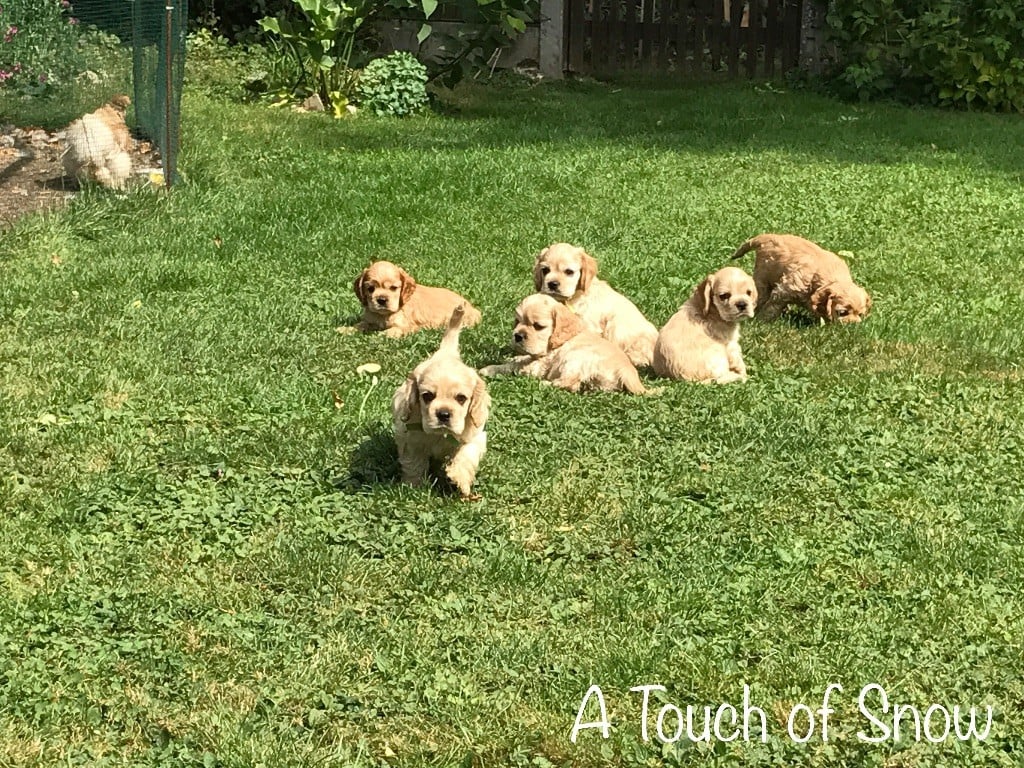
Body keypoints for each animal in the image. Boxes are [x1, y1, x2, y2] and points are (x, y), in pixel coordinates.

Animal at [389, 307, 489, 505]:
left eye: (461, 398)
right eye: (427, 396)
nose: (443, 414)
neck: (440, 435)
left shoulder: (476, 436)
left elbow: (466, 454)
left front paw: (459, 479)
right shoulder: (410, 438)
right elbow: (414, 462)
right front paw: (413, 485)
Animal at [479, 290, 647, 393]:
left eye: (538, 326)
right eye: (517, 322)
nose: (517, 336)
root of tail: (627, 371)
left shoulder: (541, 364)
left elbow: (513, 366)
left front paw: (488, 369)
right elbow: (520, 359)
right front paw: (514, 357)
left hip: (575, 358)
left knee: (570, 382)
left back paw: (544, 384)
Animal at [729, 231, 872, 321]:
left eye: (860, 314)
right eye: (842, 312)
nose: (853, 325)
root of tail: (767, 237)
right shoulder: (786, 289)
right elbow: (771, 307)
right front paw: (761, 320)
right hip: (763, 276)